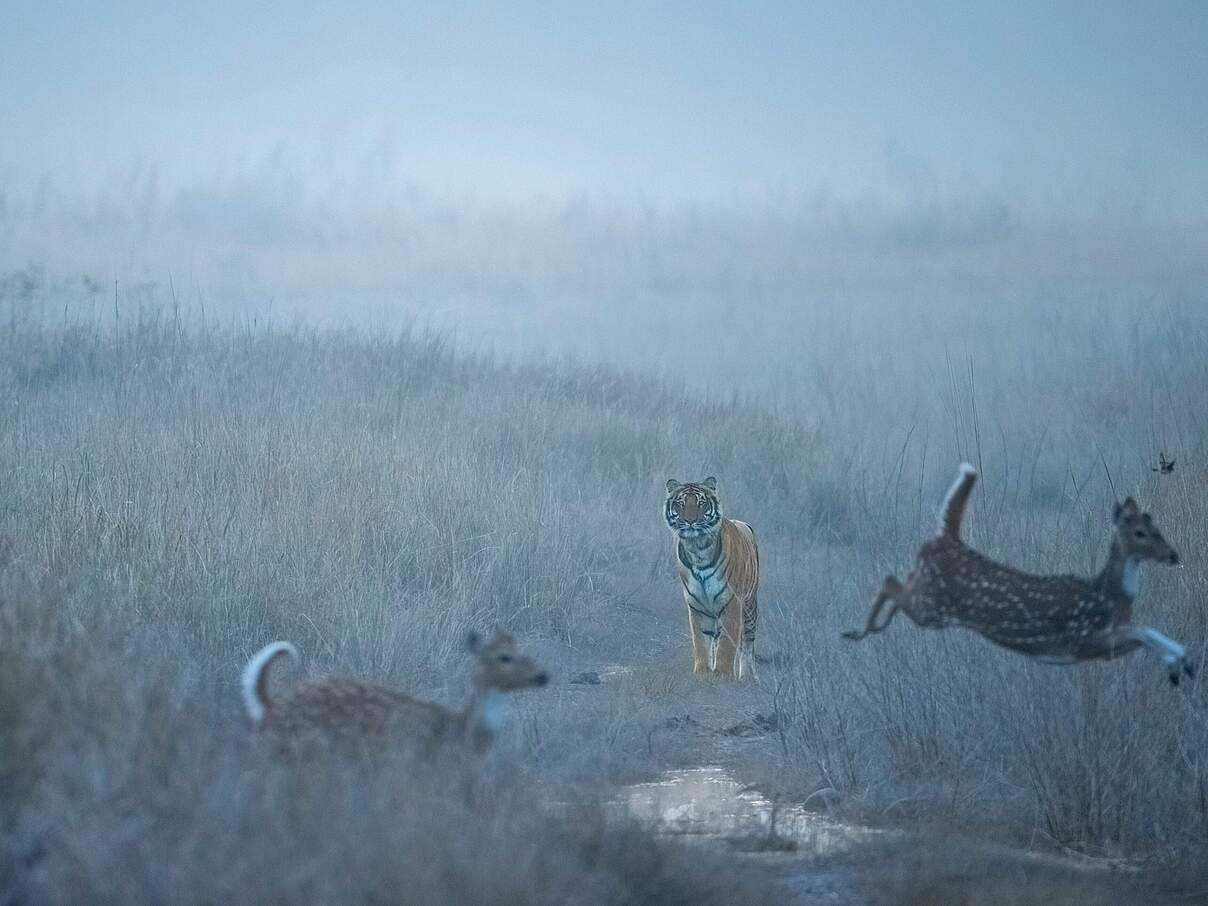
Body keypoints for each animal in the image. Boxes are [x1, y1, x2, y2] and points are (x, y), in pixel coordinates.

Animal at [666, 478, 758, 676]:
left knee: (747, 642)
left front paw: (723, 675)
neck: (697, 549)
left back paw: (747, 676)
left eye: (701, 502)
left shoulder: (731, 601)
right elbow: (701, 641)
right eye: (680, 502)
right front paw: (702, 674)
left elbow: (727, 644)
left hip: (749, 606)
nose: (690, 521)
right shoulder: (697, 604)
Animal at [845, 463, 1193, 686]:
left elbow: (1145, 632)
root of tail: (948, 537)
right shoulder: (1081, 640)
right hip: (932, 608)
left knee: (898, 583)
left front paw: (1181, 661)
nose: (1173, 555)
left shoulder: (1102, 646)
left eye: (1157, 527)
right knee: (890, 582)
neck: (1107, 596)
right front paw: (1180, 661)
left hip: (928, 597)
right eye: (1140, 533)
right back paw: (859, 631)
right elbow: (1142, 631)